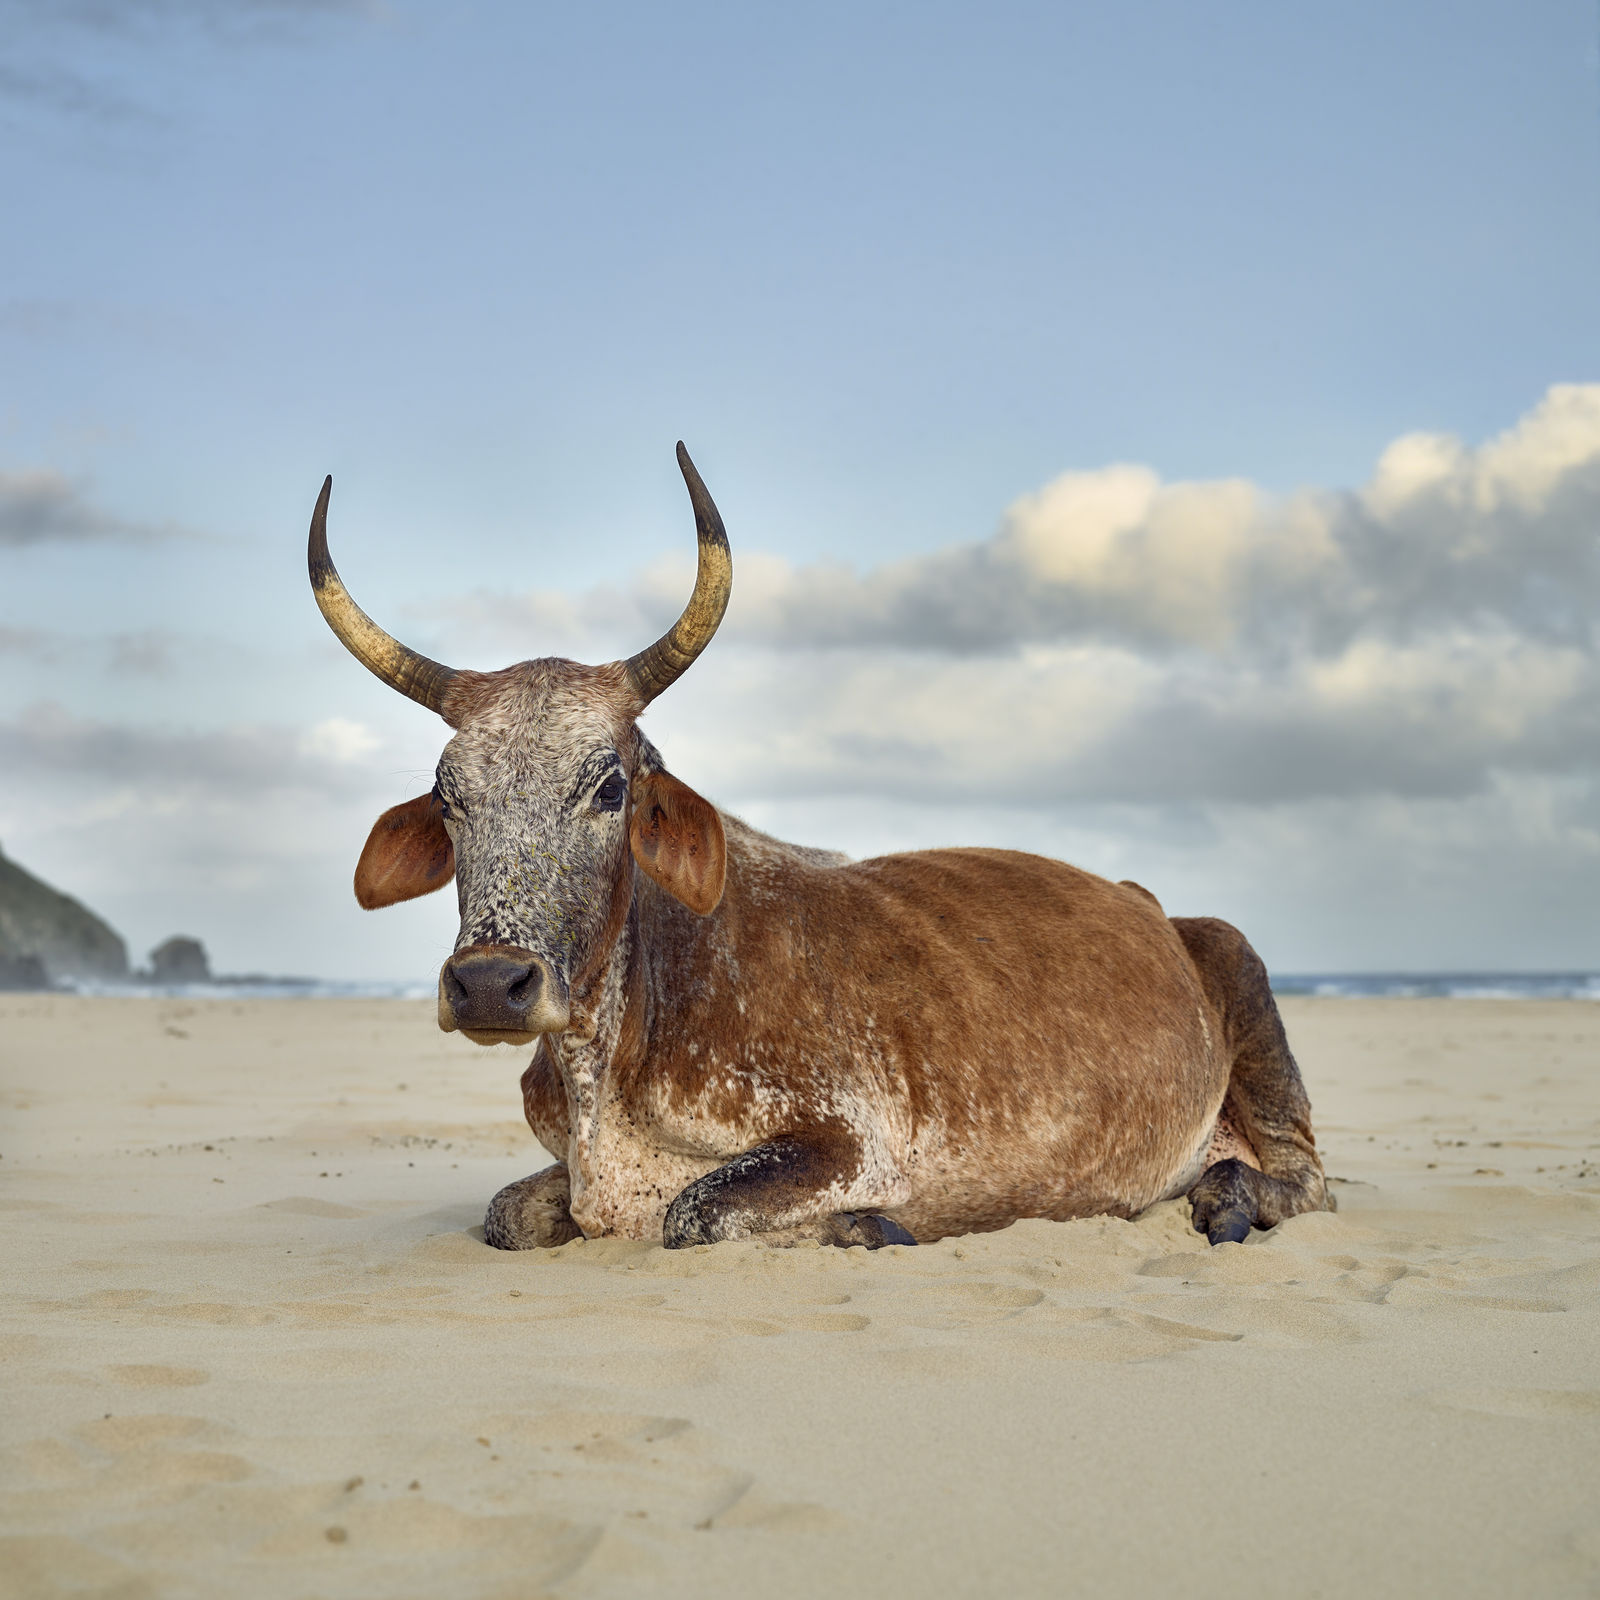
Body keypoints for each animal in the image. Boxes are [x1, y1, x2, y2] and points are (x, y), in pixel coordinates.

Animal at [308, 445, 1330, 1252]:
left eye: (610, 787)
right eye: (449, 798)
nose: (490, 984)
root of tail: (1150, 902)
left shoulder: (850, 1140)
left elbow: (692, 1212)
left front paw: (866, 1227)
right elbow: (507, 1214)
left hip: (1242, 969)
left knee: (1306, 1180)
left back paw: (1228, 1199)